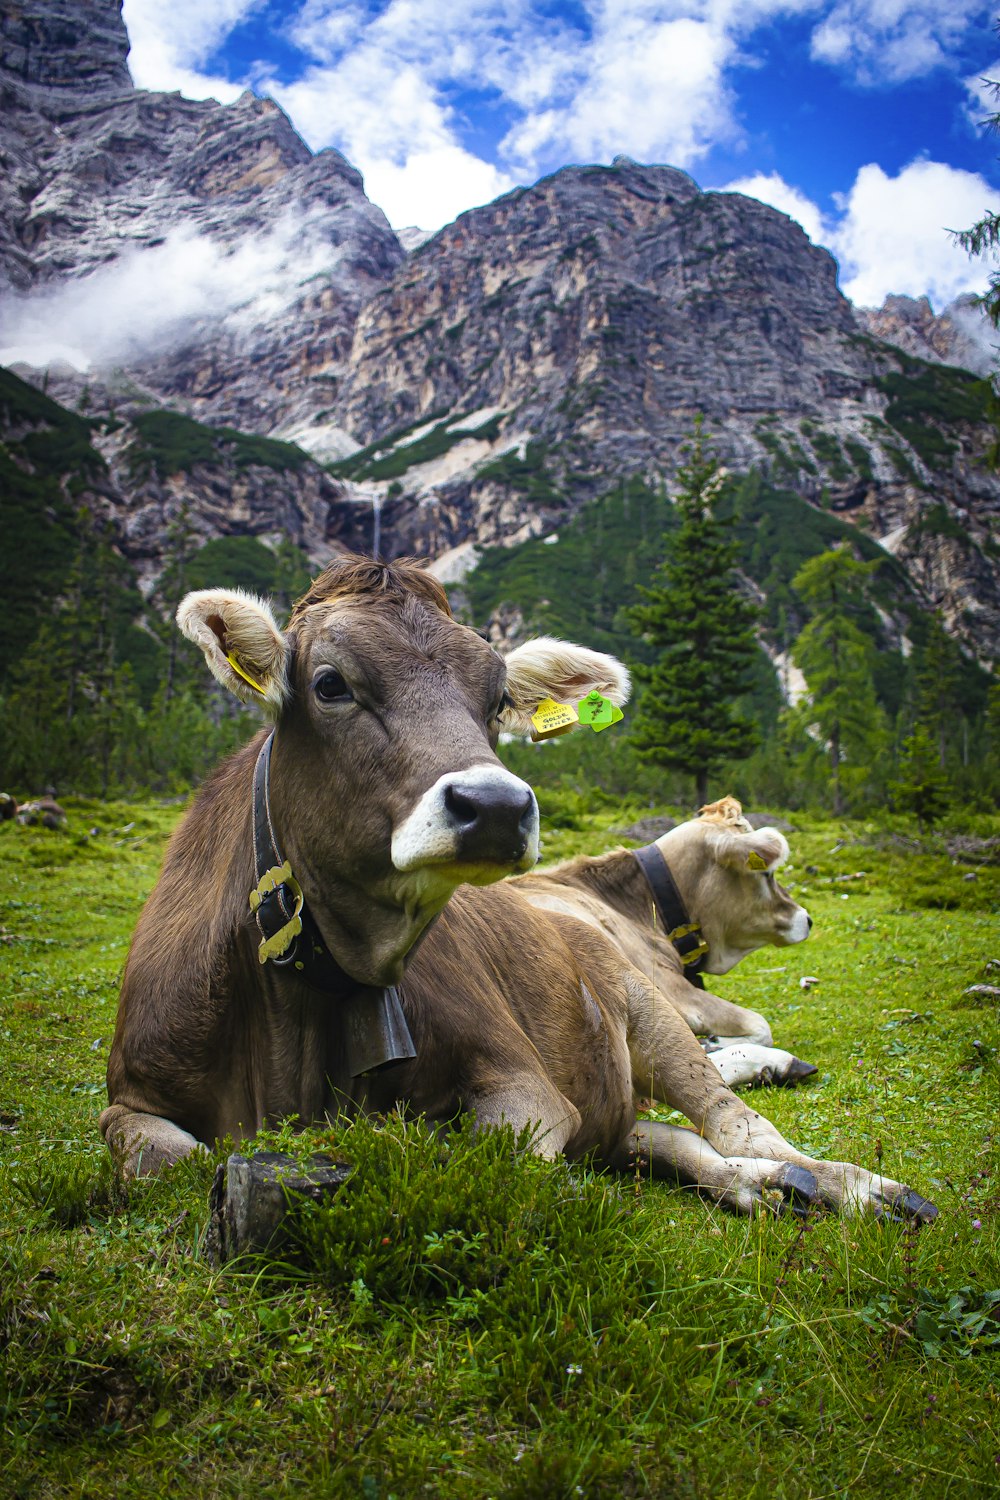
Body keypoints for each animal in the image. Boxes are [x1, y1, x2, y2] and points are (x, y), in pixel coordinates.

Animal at [101, 558, 629, 1176]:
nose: (496, 806)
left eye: (499, 700)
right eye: (330, 685)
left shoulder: (528, 1083)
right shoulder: (130, 1097)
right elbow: (170, 1161)